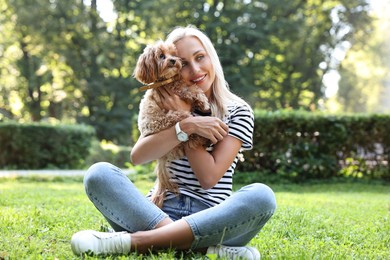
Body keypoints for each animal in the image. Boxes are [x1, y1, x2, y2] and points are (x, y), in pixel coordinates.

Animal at [133, 40, 210, 207]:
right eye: (161, 55)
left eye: (174, 54)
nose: (174, 61)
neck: (165, 81)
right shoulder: (176, 89)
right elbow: (188, 89)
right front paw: (200, 100)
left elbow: (192, 87)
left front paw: (202, 102)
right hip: (170, 119)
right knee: (190, 132)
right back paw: (204, 137)